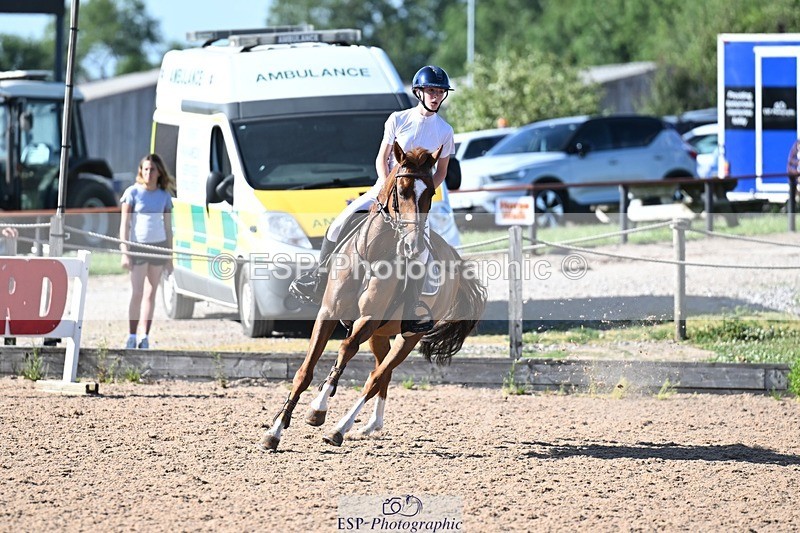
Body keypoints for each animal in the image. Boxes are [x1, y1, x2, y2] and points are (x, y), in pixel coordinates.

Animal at [261, 142, 487, 451]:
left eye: (430, 193)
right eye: (401, 190)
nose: (413, 246)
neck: (372, 254)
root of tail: (454, 257)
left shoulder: (367, 319)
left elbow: (345, 349)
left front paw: (318, 409)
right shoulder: (328, 312)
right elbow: (304, 372)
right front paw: (275, 431)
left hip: (407, 337)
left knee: (375, 378)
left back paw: (339, 429)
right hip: (381, 335)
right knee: (381, 374)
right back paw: (370, 426)